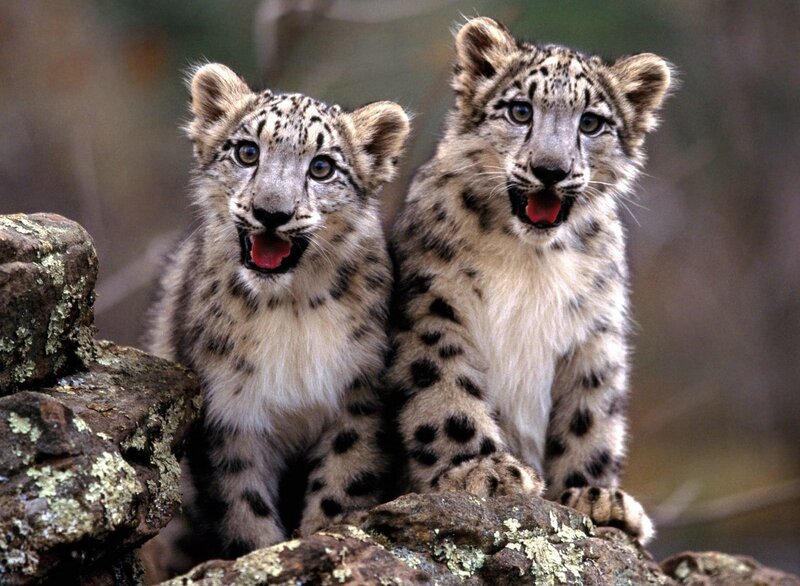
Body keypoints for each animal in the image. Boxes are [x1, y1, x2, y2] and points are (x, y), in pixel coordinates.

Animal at [142, 62, 409, 577]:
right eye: (247, 151)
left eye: (322, 166)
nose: (271, 212)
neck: (290, 311)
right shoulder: (230, 412)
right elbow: (244, 508)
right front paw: (263, 557)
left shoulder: (358, 397)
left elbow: (342, 485)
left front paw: (322, 540)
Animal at [386, 17, 673, 544]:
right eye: (520, 110)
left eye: (591, 122)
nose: (550, 169)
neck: (530, 260)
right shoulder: (432, 307)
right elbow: (444, 389)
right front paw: (481, 470)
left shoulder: (595, 331)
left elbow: (590, 415)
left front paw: (595, 496)